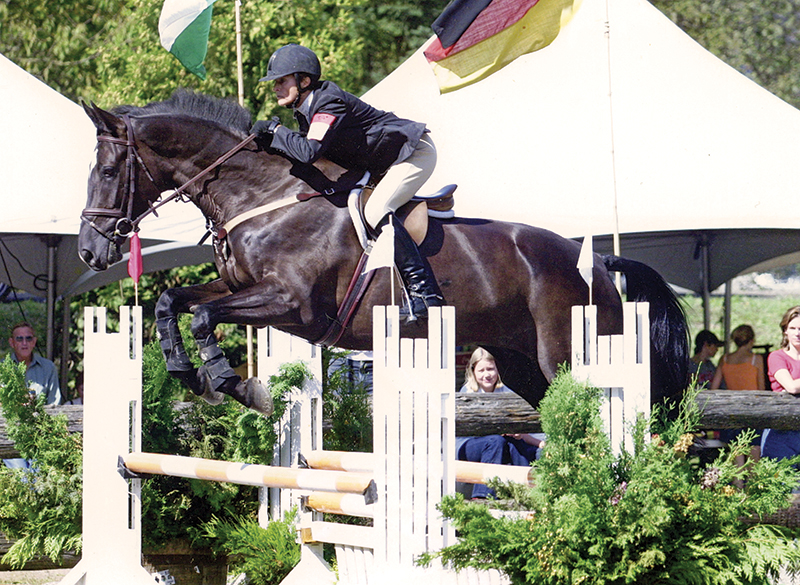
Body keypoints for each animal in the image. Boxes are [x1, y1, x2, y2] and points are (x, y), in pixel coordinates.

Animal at [78, 90, 688, 415]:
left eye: (107, 172)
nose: (88, 251)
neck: (262, 196)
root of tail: (599, 264)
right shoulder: (239, 288)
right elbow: (174, 304)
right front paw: (190, 374)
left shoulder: (292, 305)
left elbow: (204, 315)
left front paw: (240, 386)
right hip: (520, 361)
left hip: (569, 353)